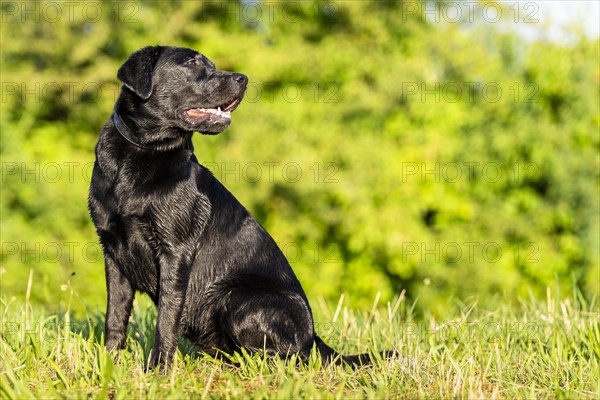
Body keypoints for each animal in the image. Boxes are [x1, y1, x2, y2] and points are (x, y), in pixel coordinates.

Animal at [90, 46, 384, 368]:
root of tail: (314, 337)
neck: (143, 152)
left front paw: (158, 370)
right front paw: (108, 364)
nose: (243, 78)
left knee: (291, 357)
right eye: (191, 63)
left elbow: (166, 319)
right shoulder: (113, 252)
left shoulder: (175, 250)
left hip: (236, 298)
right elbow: (115, 316)